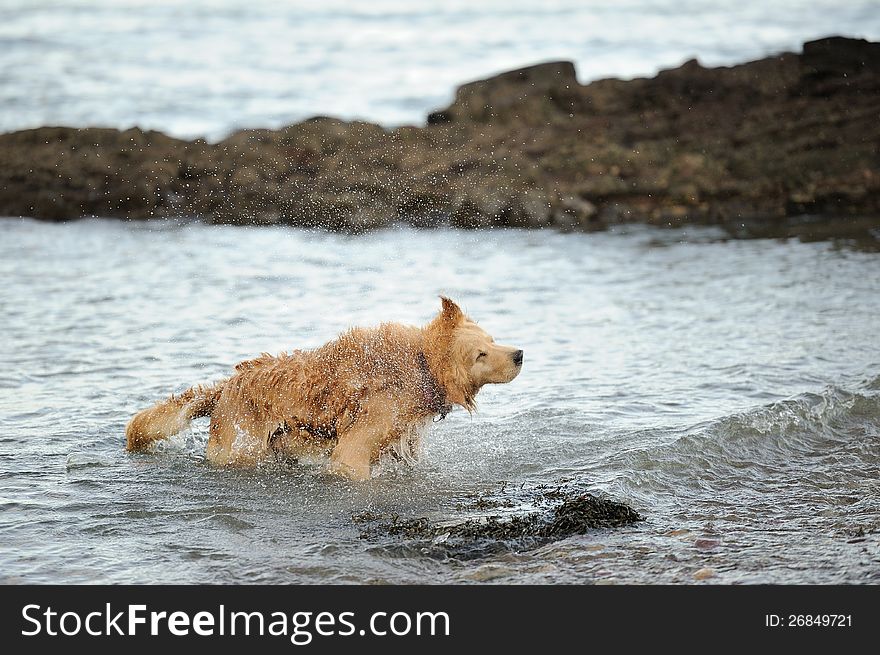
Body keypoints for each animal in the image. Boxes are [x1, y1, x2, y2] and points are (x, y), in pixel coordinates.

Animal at [124, 300, 524, 480]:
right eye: (480, 354)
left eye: (492, 340)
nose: (519, 354)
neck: (422, 363)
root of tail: (224, 387)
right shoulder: (354, 448)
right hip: (242, 447)